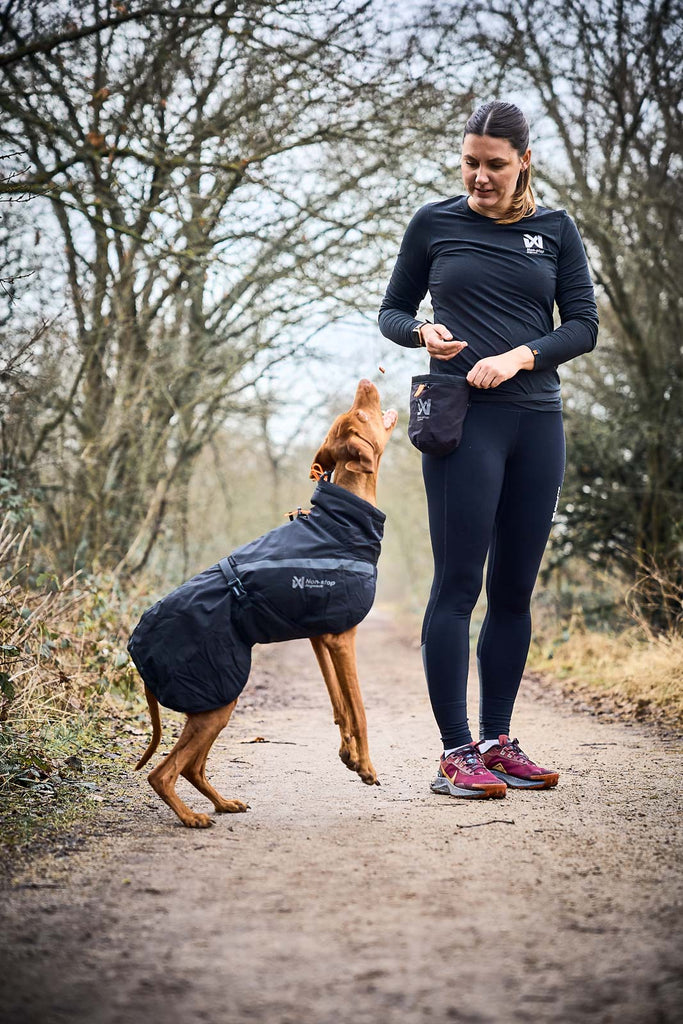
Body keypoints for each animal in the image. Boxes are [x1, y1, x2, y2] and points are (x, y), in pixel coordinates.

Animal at [125, 380, 397, 827]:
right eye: (359, 413)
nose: (365, 383)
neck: (341, 523)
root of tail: (136, 646)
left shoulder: (321, 636)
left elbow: (338, 704)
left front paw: (348, 756)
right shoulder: (342, 638)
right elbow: (358, 709)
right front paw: (368, 767)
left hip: (216, 704)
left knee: (193, 767)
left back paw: (221, 803)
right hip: (217, 698)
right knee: (164, 772)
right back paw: (192, 817)